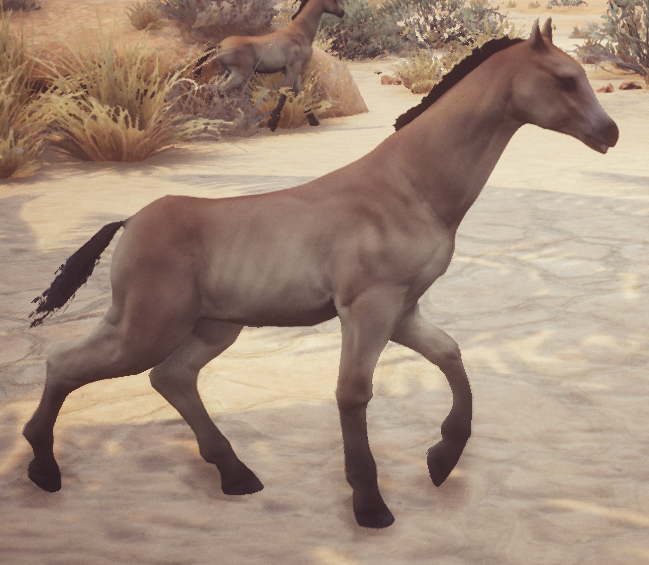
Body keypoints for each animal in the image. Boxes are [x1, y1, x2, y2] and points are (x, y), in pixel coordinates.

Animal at [25, 19, 618, 529]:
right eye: (565, 78)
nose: (609, 133)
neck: (409, 188)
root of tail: (130, 221)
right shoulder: (368, 309)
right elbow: (353, 393)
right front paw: (371, 506)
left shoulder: (402, 309)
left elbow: (449, 354)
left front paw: (442, 460)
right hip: (144, 328)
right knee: (66, 362)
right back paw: (43, 470)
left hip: (213, 328)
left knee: (171, 377)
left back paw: (236, 475)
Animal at [197, 0, 344, 131]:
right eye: (334, 0)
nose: (342, 12)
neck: (299, 33)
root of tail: (219, 45)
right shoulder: (292, 70)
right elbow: (283, 95)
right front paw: (272, 125)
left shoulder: (294, 71)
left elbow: (300, 94)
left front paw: (314, 121)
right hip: (239, 74)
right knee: (219, 91)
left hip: (227, 73)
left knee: (216, 93)